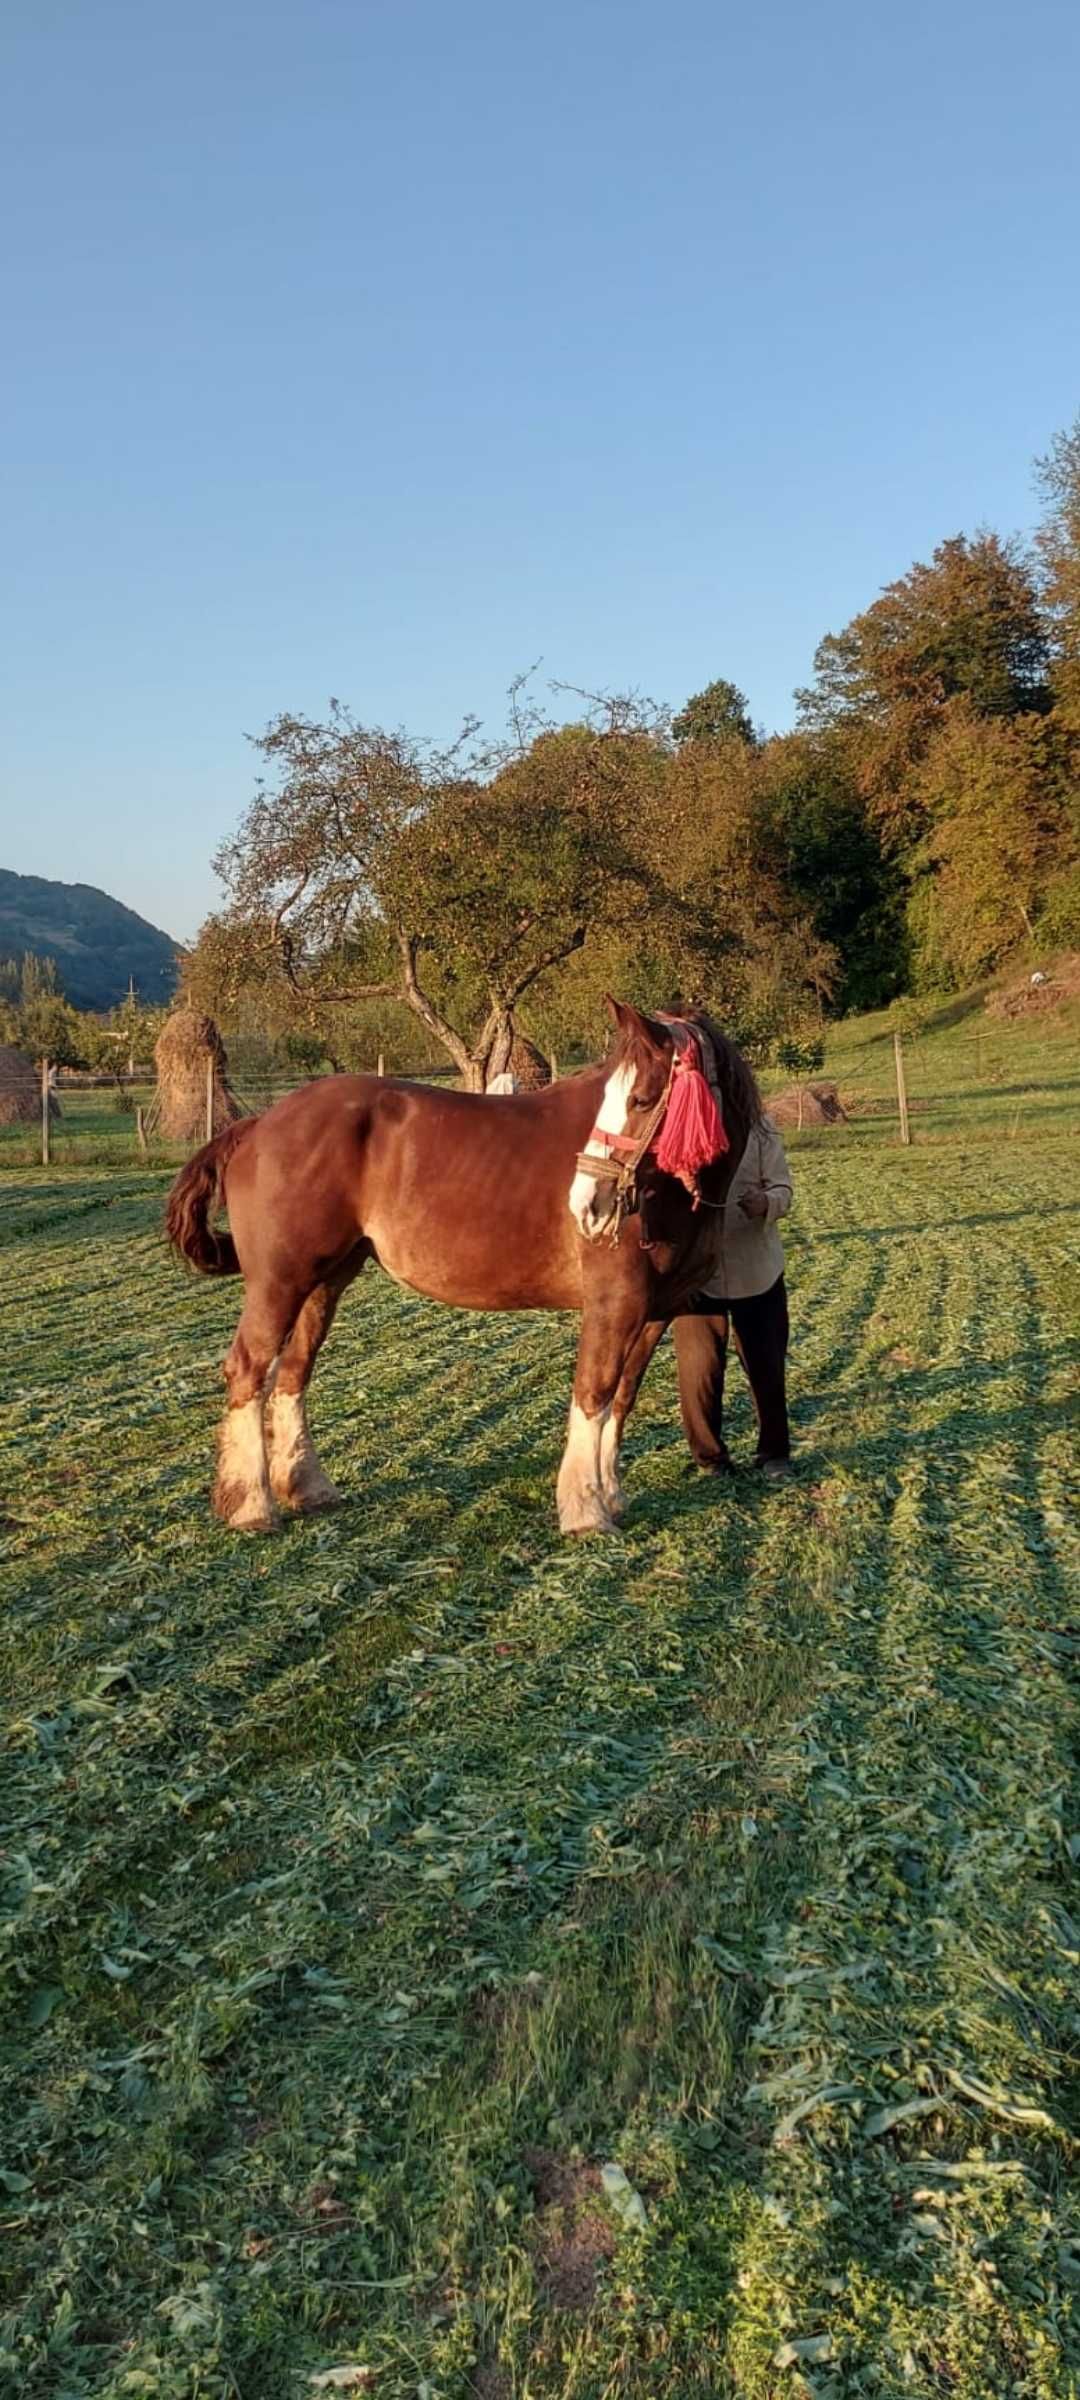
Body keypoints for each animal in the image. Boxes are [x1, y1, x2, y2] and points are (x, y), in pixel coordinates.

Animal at [164, 998, 763, 1536]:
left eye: (640, 1099)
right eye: (620, 1099)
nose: (586, 1206)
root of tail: (259, 1124)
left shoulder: (656, 1311)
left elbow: (622, 1397)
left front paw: (611, 1497)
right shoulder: (613, 1306)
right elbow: (593, 1393)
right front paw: (585, 1511)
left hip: (325, 1282)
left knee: (292, 1374)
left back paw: (308, 1489)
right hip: (280, 1282)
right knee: (249, 1370)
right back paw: (251, 1508)